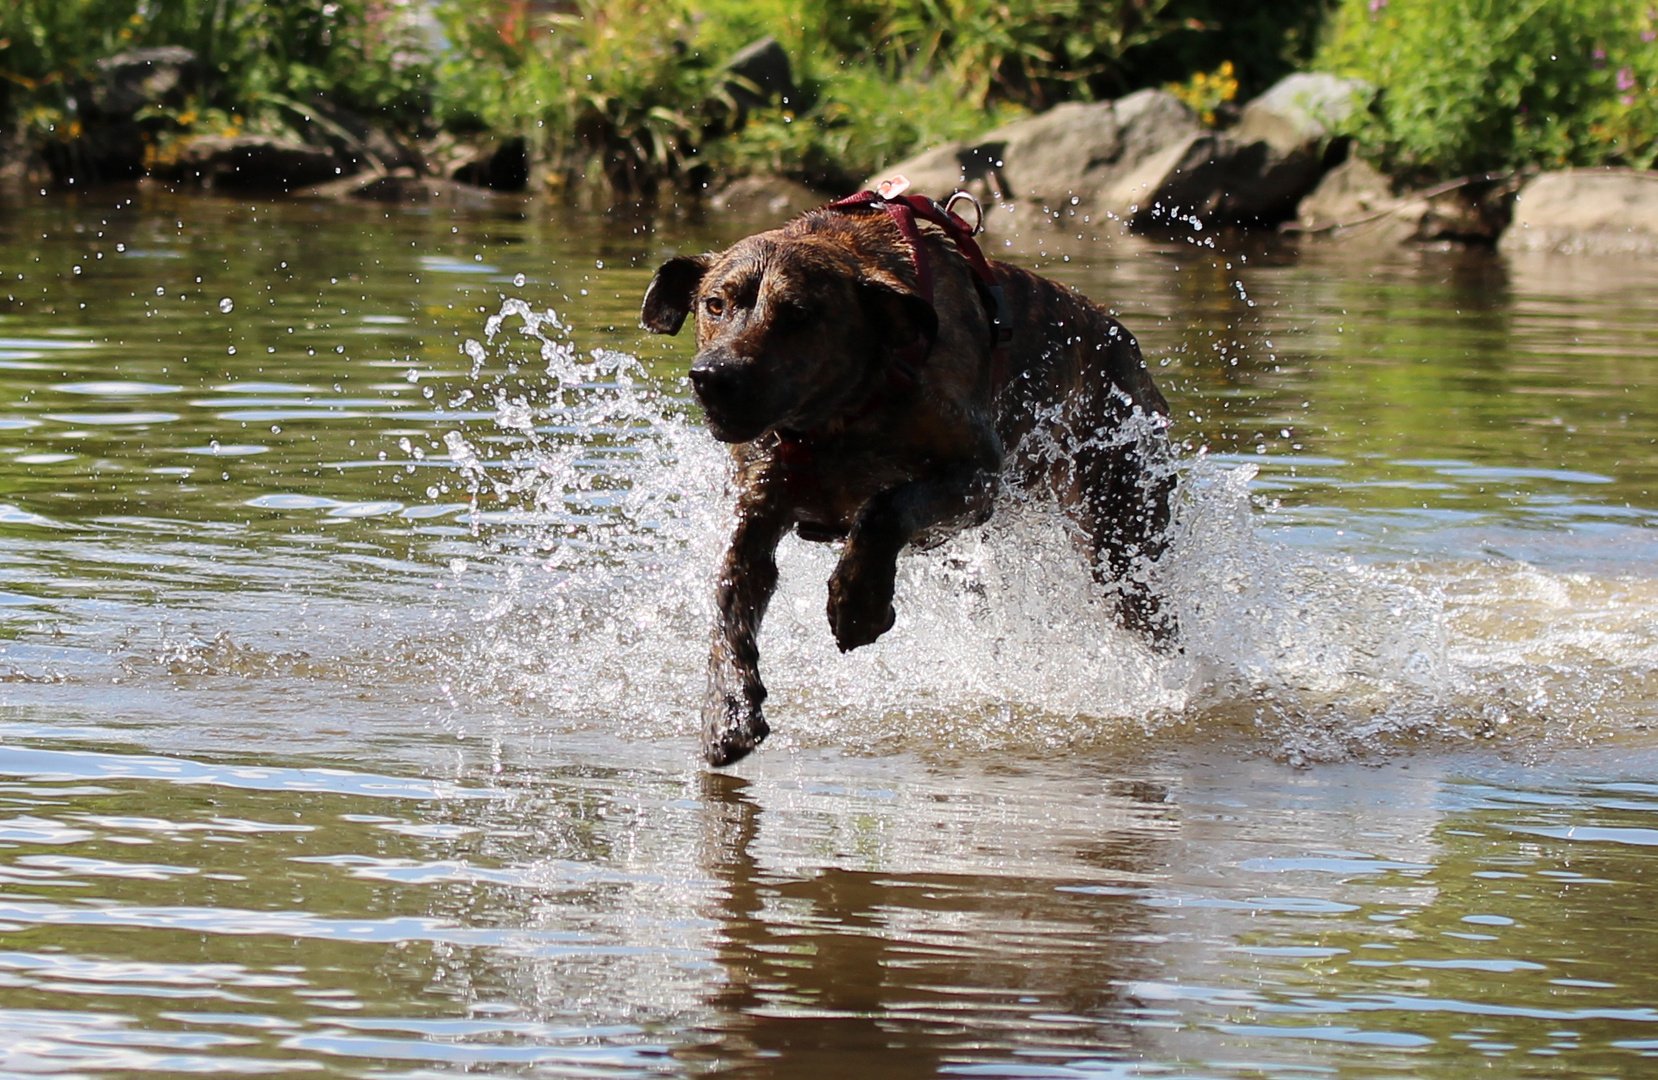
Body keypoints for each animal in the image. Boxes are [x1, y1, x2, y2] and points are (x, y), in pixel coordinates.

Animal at [639, 196, 1173, 769]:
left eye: (799, 314)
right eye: (715, 304)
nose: (714, 377)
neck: (837, 418)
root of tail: (1126, 343)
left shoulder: (975, 477)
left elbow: (884, 509)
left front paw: (859, 603)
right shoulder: (756, 512)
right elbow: (728, 608)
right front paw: (729, 709)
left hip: (1123, 535)